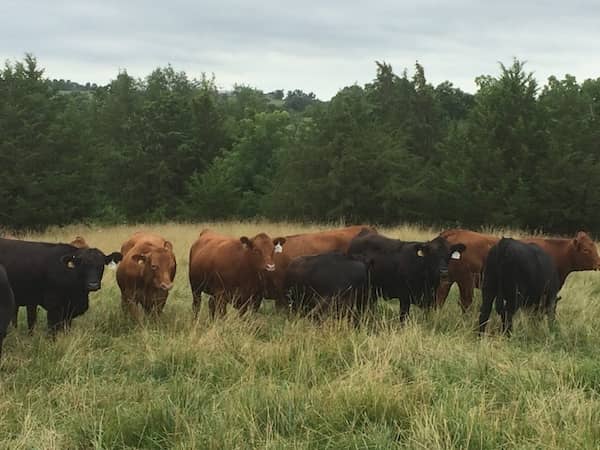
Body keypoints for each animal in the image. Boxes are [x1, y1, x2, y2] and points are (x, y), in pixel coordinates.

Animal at [436, 229, 600, 310]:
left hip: (447, 279)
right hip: (466, 280)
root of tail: (456, 232)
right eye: (586, 250)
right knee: (465, 302)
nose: (598, 263)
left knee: (440, 298)